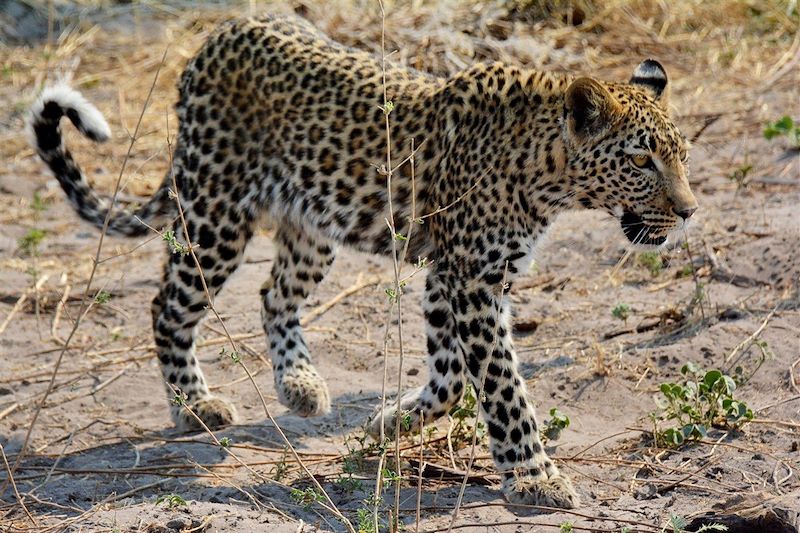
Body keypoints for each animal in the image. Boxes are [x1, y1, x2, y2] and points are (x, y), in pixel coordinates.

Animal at [28, 12, 696, 508]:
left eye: (682, 155)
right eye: (640, 161)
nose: (689, 211)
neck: (549, 174)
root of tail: (217, 37)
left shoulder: (451, 275)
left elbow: (453, 375)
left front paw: (389, 424)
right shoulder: (471, 278)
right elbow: (502, 384)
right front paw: (535, 476)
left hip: (312, 225)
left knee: (274, 294)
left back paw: (300, 386)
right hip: (216, 216)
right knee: (168, 303)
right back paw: (196, 404)